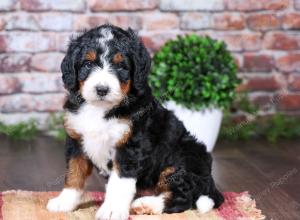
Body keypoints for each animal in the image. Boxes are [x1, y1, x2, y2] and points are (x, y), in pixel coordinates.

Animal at [47, 24, 224, 220]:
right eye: (88, 64)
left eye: (121, 66)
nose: (102, 89)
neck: (100, 109)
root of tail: (210, 180)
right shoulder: (76, 140)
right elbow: (74, 173)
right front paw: (65, 202)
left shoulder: (130, 146)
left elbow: (119, 181)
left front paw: (112, 210)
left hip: (182, 159)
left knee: (183, 198)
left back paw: (146, 204)